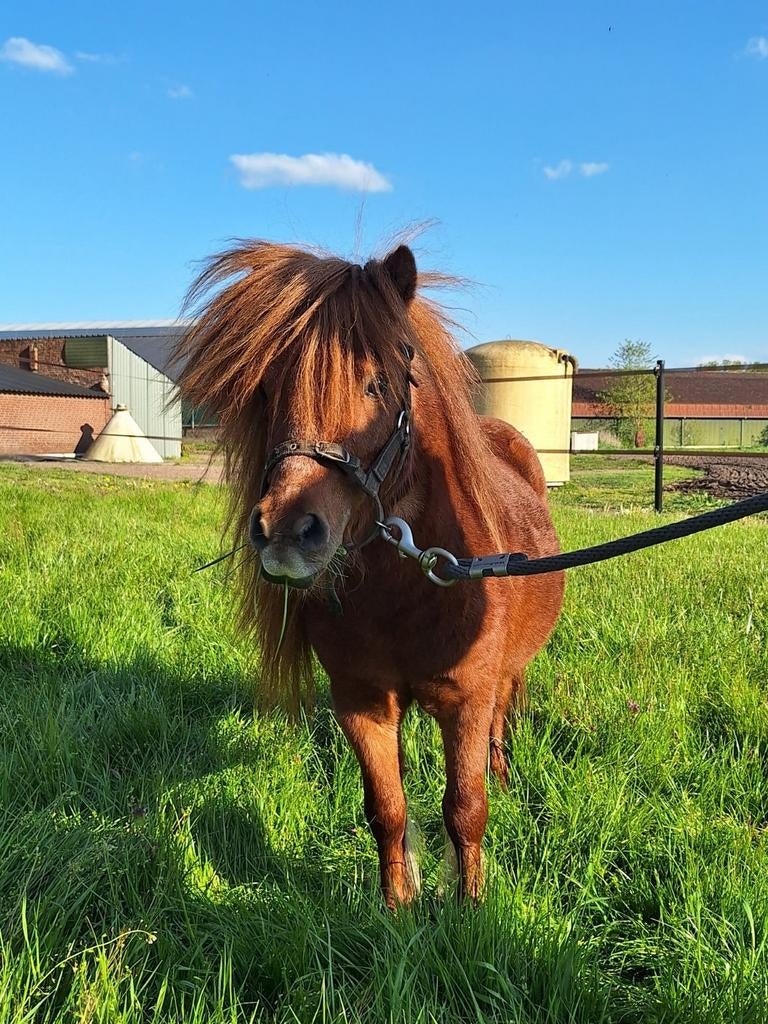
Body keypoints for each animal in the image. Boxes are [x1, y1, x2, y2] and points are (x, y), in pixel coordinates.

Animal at [176, 240, 564, 906]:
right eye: (268, 390)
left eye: (377, 383)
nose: (286, 533)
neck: (404, 590)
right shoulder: (363, 702)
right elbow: (387, 810)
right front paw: (396, 905)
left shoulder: (467, 698)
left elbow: (466, 809)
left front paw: (470, 910)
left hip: (508, 675)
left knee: (503, 717)